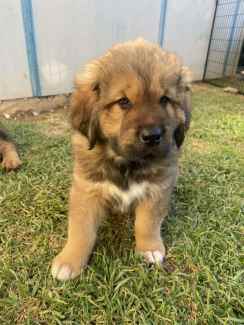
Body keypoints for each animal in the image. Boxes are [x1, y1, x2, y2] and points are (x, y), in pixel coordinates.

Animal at [52, 38, 193, 280]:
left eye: (164, 99)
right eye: (124, 102)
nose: (153, 135)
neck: (126, 162)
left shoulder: (157, 188)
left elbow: (147, 223)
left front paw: (150, 248)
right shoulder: (86, 190)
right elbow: (81, 229)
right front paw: (69, 261)